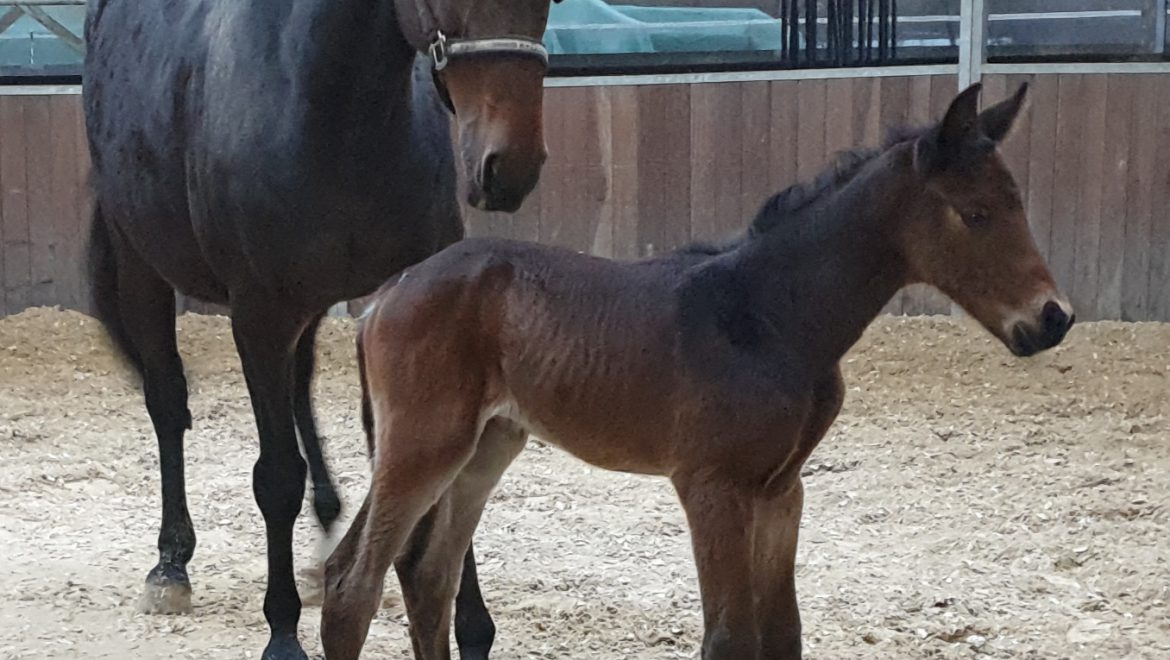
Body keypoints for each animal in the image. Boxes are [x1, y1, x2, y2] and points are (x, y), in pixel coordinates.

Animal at [83, 0, 556, 655]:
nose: (509, 167)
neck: (335, 113)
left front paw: (470, 629)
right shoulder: (259, 317)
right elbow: (276, 476)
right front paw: (283, 631)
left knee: (300, 388)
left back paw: (328, 518)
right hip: (142, 267)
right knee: (168, 403)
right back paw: (171, 564)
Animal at [322, 83, 1076, 660]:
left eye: (1018, 204)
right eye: (975, 214)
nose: (1052, 318)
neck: (766, 316)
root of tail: (387, 293)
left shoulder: (781, 491)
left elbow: (782, 636)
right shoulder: (712, 488)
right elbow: (730, 639)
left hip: (487, 446)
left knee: (428, 578)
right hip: (425, 444)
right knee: (350, 584)